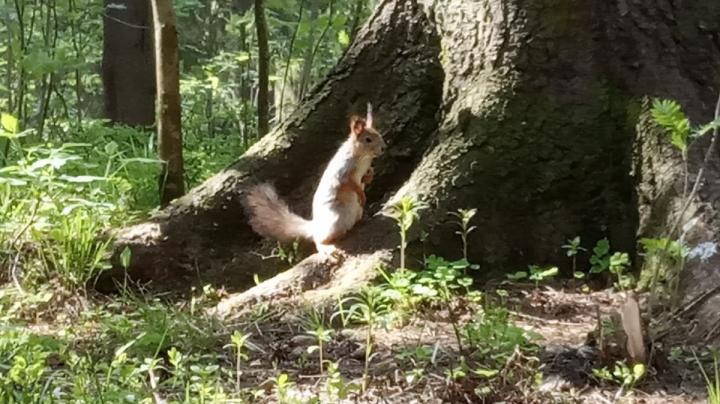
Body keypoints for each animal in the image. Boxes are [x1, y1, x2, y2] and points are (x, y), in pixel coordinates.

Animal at [244, 103, 386, 257]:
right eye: (368, 139)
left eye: (379, 135)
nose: (383, 148)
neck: (364, 158)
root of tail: (315, 226)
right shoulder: (343, 172)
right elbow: (350, 184)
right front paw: (361, 194)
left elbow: (367, 176)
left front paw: (369, 177)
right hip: (336, 219)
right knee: (318, 240)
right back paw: (327, 248)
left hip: (354, 213)